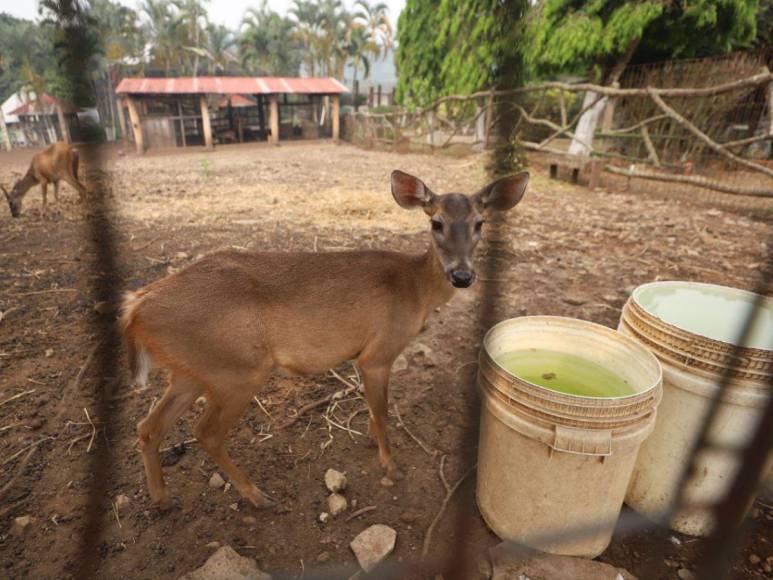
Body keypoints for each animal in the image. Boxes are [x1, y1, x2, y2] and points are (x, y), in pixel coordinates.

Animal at [122, 169, 532, 508]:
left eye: (480, 222)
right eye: (436, 222)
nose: (462, 275)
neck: (415, 290)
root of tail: (136, 307)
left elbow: (374, 410)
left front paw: (371, 440)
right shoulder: (377, 353)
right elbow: (382, 410)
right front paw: (390, 465)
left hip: (192, 369)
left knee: (147, 427)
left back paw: (163, 499)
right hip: (238, 369)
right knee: (204, 433)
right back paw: (257, 496)